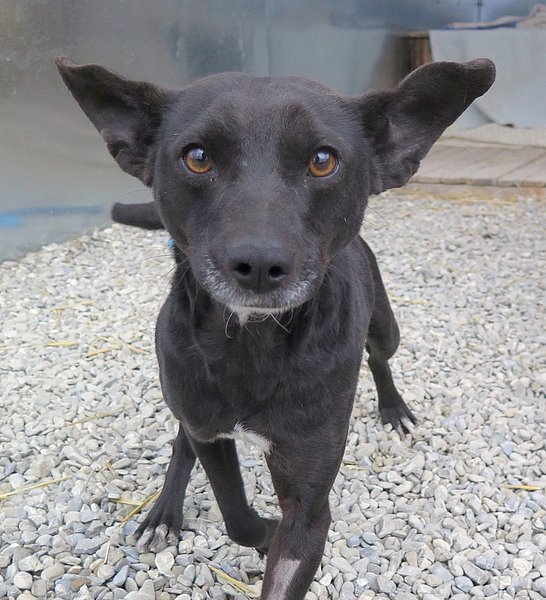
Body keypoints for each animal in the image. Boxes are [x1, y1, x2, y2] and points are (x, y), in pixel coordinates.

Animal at [56, 56, 494, 599]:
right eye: (197, 157)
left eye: (323, 160)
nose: (260, 264)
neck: (251, 343)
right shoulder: (209, 430)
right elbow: (235, 515)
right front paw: (263, 531)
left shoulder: (309, 495)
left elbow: (287, 533)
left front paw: (273, 536)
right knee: (183, 439)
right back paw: (163, 514)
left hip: (385, 326)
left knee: (379, 357)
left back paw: (394, 408)